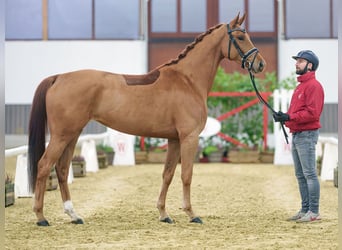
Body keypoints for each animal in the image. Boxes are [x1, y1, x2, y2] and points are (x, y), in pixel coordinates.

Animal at [28, 12, 266, 226]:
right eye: (241, 37)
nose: (260, 64)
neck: (187, 80)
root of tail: (58, 77)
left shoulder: (174, 139)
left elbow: (167, 174)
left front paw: (164, 214)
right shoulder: (189, 137)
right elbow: (186, 175)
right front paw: (191, 214)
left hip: (72, 134)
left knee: (62, 169)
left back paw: (74, 215)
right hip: (62, 135)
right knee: (44, 165)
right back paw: (40, 217)